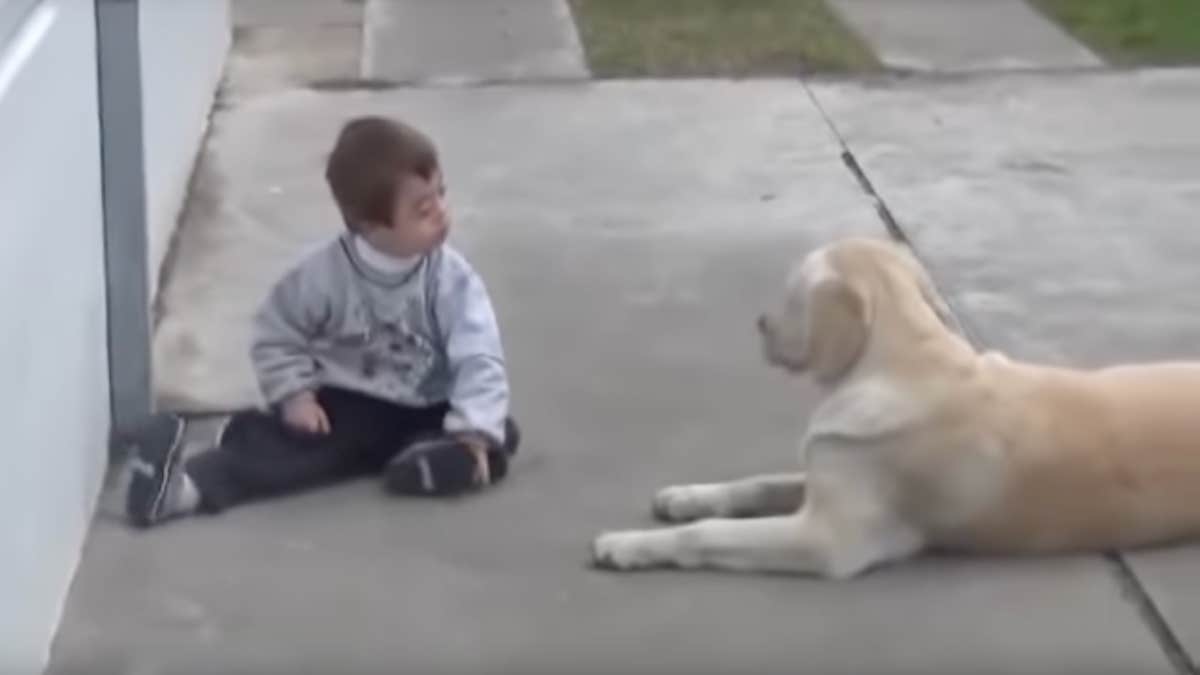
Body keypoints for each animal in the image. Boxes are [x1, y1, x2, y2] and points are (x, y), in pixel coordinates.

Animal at [592, 234, 1200, 576]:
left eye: (792, 292)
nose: (759, 323)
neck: (905, 358)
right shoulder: (826, 471)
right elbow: (758, 482)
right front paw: (688, 495)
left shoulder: (828, 539)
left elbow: (708, 534)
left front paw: (626, 545)